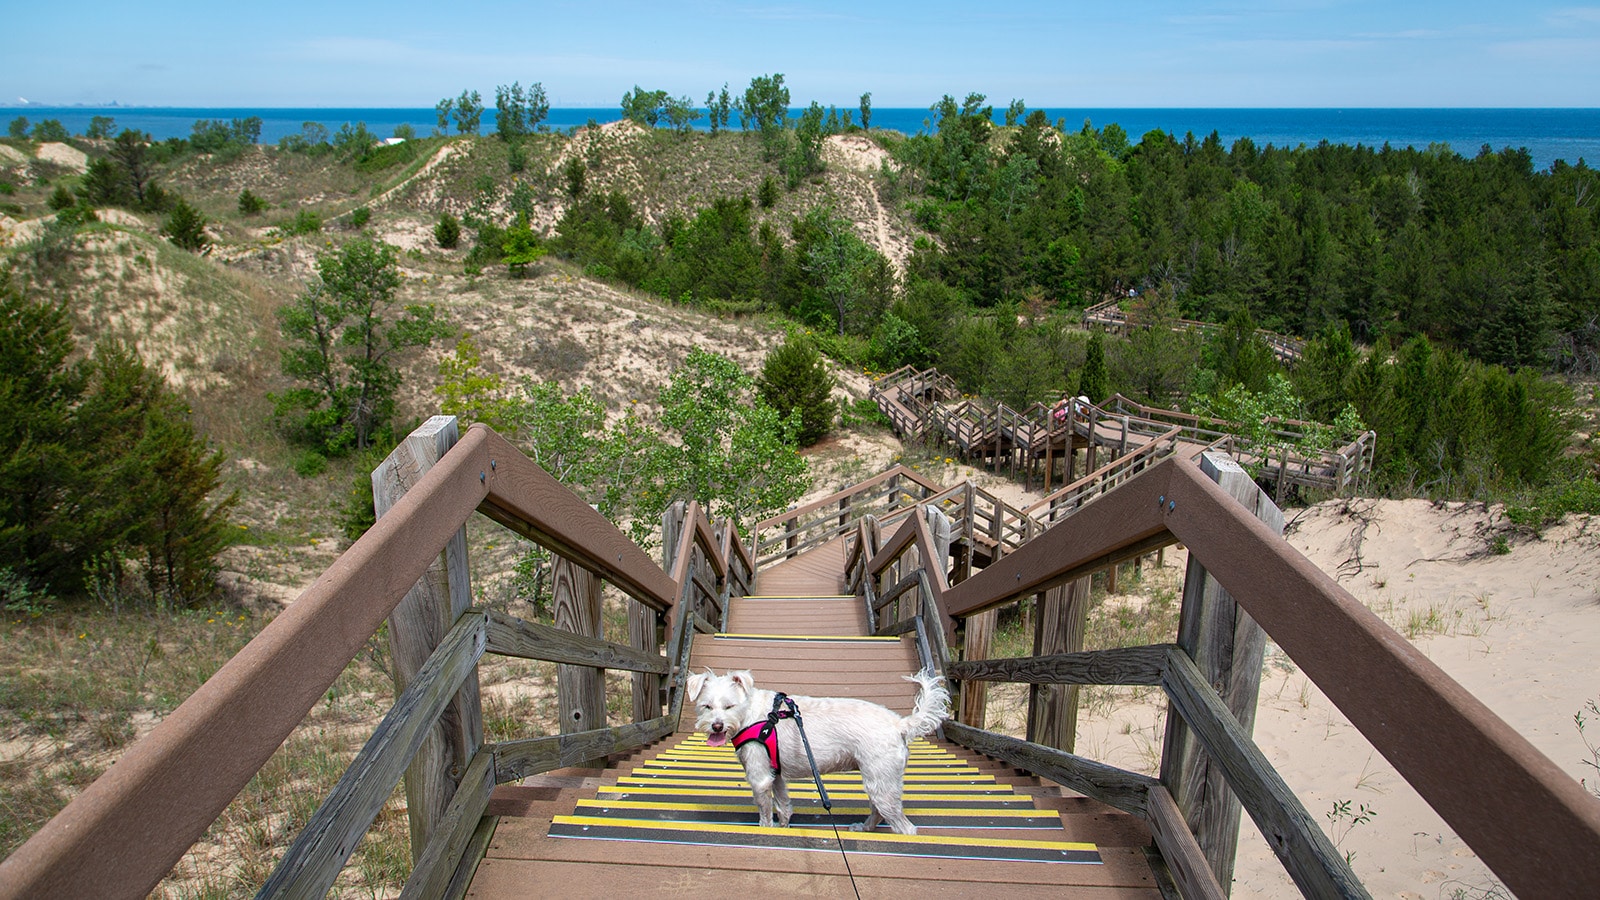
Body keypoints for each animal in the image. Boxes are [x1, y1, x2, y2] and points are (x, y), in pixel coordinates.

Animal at [681, 669, 940, 832]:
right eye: (706, 706)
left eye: (729, 706)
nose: (716, 726)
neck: (751, 714)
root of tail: (900, 724)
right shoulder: (775, 773)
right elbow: (783, 806)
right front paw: (784, 828)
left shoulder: (759, 776)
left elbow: (765, 810)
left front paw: (766, 830)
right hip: (879, 780)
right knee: (878, 811)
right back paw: (864, 828)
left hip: (881, 781)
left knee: (905, 827)